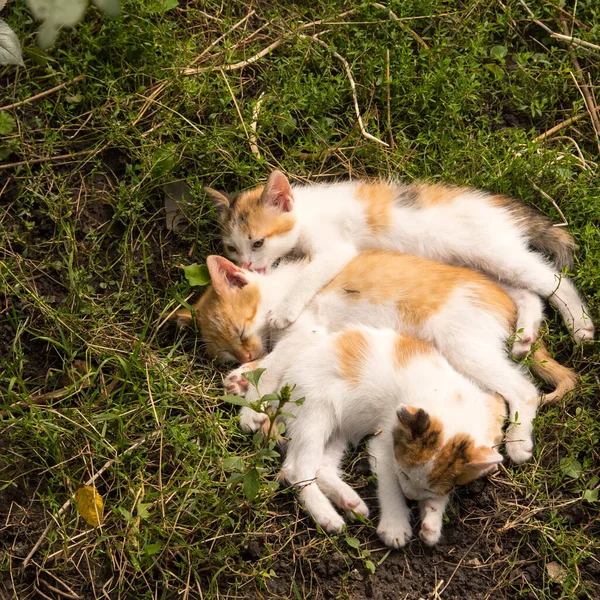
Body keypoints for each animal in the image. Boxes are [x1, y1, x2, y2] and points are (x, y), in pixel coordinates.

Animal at [209, 171, 592, 344]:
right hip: (480, 266)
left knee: (555, 281)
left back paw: (580, 323)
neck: (305, 213)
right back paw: (524, 337)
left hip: (497, 252)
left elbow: (309, 274)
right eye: (232, 248)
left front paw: (284, 312)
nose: (245, 264)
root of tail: (500, 208)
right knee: (527, 294)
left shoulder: (335, 248)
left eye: (257, 242)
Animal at [225, 326, 506, 548]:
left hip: (340, 429)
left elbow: (442, 493)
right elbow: (389, 485)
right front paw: (395, 526)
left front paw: (432, 522)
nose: (411, 497)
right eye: (404, 475)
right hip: (314, 412)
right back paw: (327, 516)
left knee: (320, 467)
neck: (448, 400)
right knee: (298, 469)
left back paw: (349, 502)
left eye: (427, 488)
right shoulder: (384, 443)